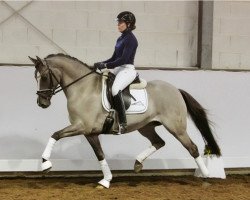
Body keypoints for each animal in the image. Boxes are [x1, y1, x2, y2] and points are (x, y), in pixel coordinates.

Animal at [28, 54, 222, 188]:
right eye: (35, 77)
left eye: (44, 77)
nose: (42, 103)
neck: (82, 89)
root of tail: (176, 90)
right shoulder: (90, 132)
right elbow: (100, 154)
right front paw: (106, 180)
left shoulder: (81, 127)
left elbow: (55, 134)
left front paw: (45, 163)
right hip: (146, 127)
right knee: (159, 142)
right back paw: (137, 163)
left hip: (176, 128)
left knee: (192, 148)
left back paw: (206, 176)